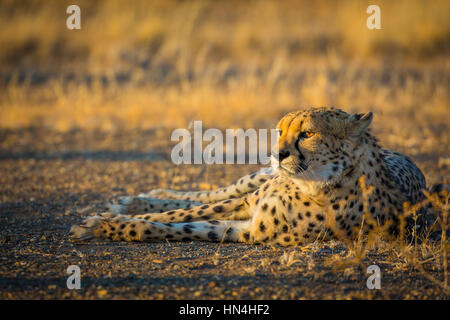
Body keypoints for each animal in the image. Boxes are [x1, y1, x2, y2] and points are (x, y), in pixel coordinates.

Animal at [69, 107, 428, 245]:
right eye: (281, 130)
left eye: (308, 134)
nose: (277, 153)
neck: (314, 184)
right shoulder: (247, 204)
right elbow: (181, 213)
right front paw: (103, 219)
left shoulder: (248, 230)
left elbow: (177, 226)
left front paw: (103, 226)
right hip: (255, 181)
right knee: (214, 193)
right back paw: (138, 199)